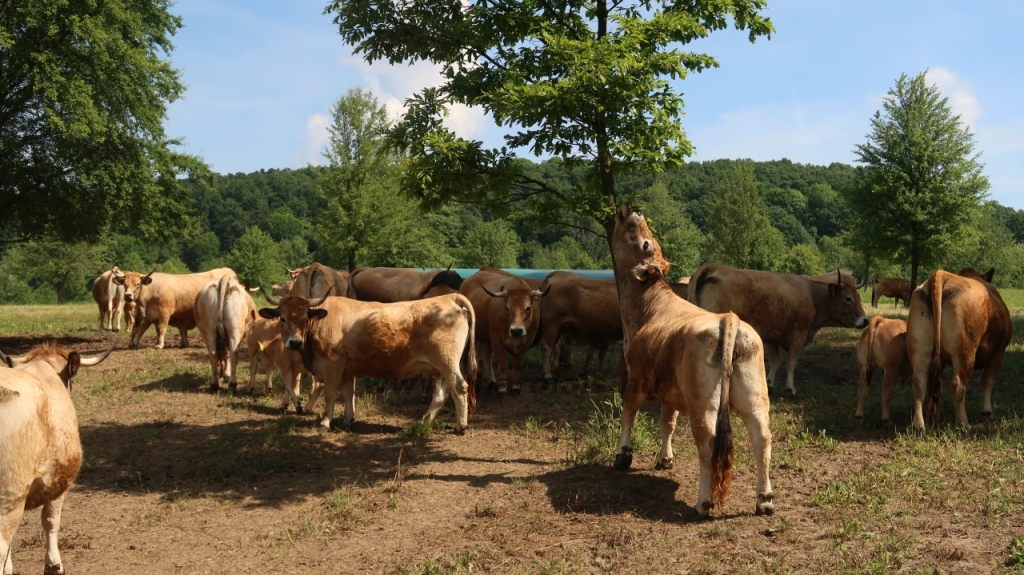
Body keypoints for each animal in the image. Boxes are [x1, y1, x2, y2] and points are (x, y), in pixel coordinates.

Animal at [258, 288, 477, 431]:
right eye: (283, 318)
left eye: (305, 318)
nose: (294, 343)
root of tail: (449, 297)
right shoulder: (346, 368)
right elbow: (348, 393)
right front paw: (348, 419)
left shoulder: (332, 363)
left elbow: (330, 393)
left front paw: (325, 423)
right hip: (438, 368)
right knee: (441, 395)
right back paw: (423, 422)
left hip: (446, 362)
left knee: (459, 388)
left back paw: (460, 426)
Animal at [610, 204, 770, 515]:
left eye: (646, 243)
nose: (636, 210)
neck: (649, 306)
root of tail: (728, 318)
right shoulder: (670, 391)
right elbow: (667, 422)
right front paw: (665, 459)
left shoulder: (636, 377)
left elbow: (628, 414)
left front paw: (623, 456)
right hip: (755, 395)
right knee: (762, 438)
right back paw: (765, 500)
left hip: (703, 403)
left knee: (708, 444)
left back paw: (704, 503)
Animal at [684, 263, 868, 392]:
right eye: (848, 298)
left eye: (859, 297)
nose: (865, 320)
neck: (812, 293)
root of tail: (712, 267)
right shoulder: (799, 334)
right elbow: (791, 361)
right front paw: (790, 388)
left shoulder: (771, 337)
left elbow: (775, 360)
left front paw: (770, 383)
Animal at [909, 263, 1011, 425]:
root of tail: (940, 275)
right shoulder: (998, 353)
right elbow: (987, 381)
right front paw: (987, 412)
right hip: (965, 352)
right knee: (958, 384)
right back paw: (963, 423)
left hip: (919, 349)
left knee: (919, 383)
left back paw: (919, 424)